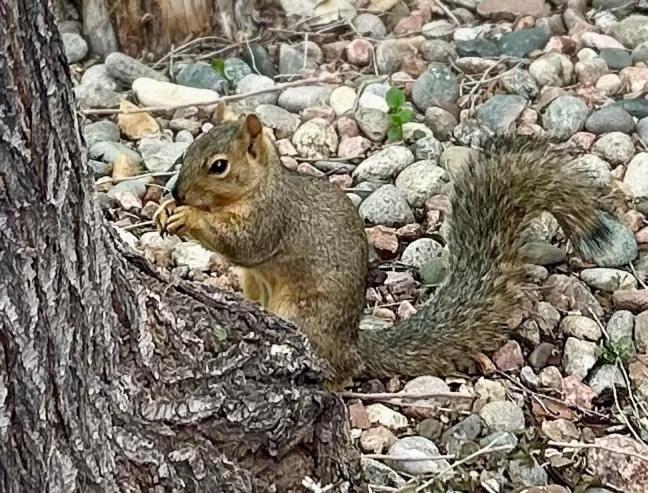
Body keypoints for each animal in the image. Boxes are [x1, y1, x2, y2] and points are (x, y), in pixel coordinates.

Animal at [154, 113, 620, 390]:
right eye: (188, 150)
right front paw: (165, 209)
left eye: (218, 166)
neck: (260, 186)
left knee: (340, 372)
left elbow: (243, 244)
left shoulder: (272, 217)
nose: (177, 192)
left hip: (303, 320)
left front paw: (186, 218)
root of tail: (354, 344)